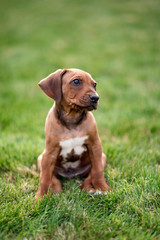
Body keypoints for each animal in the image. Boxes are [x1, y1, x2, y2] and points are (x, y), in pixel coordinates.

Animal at [36, 68, 110, 199]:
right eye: (76, 81)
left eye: (94, 85)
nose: (96, 98)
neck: (72, 118)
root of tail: (71, 174)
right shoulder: (49, 152)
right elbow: (44, 178)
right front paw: (40, 197)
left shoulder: (95, 146)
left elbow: (97, 171)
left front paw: (102, 188)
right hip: (41, 158)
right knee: (52, 177)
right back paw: (56, 190)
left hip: (102, 157)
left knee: (91, 174)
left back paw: (89, 188)